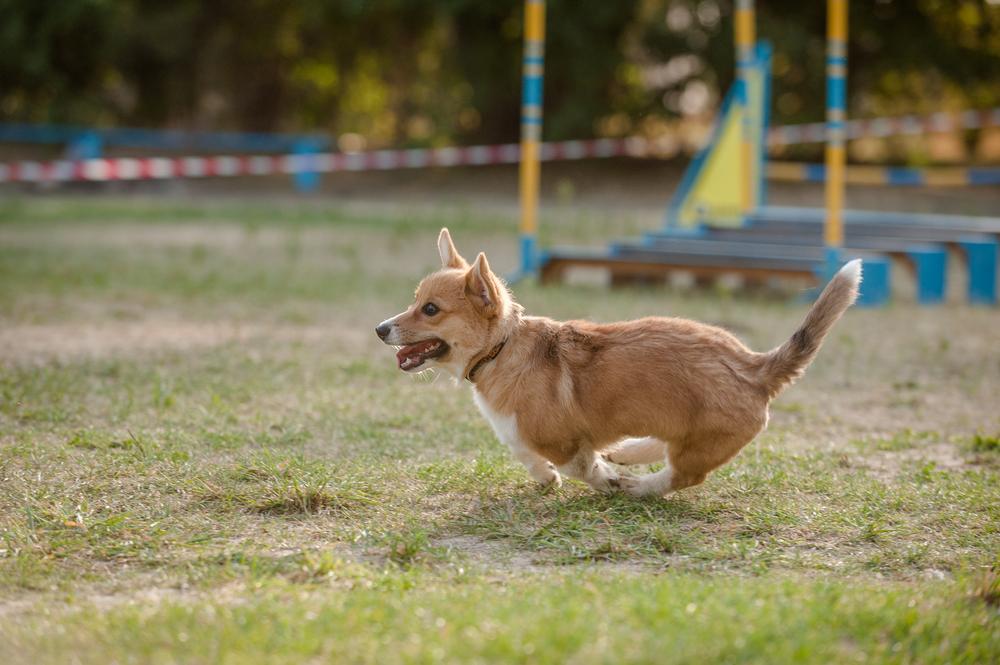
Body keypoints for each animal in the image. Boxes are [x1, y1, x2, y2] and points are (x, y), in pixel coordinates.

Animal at [376, 228, 860, 492]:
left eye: (431, 310)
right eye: (414, 301)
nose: (380, 329)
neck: (501, 347)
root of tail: (755, 366)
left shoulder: (562, 441)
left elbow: (580, 465)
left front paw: (602, 481)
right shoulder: (519, 433)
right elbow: (526, 452)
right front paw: (545, 478)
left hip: (700, 443)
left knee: (680, 476)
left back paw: (637, 486)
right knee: (665, 450)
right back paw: (629, 452)